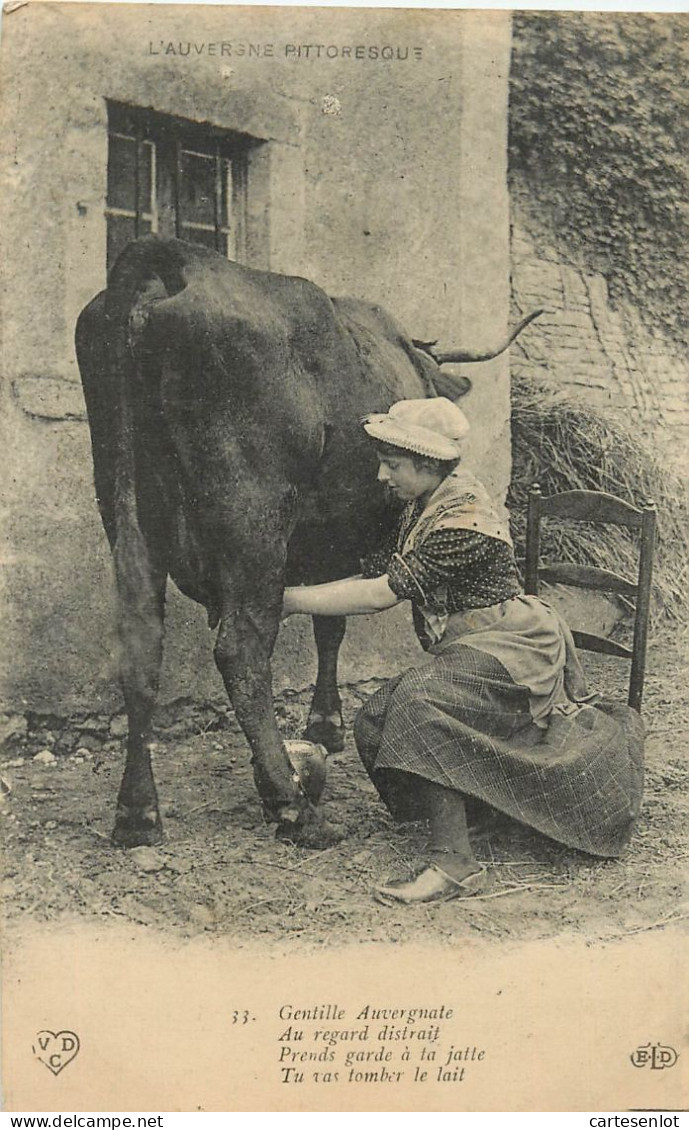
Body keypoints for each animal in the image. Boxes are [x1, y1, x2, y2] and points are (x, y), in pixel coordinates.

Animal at [76, 233, 537, 845]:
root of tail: (174, 258)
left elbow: (328, 620)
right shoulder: (335, 539)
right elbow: (331, 628)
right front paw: (326, 724)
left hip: (124, 510)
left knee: (140, 648)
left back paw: (138, 814)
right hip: (253, 521)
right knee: (242, 651)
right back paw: (292, 806)